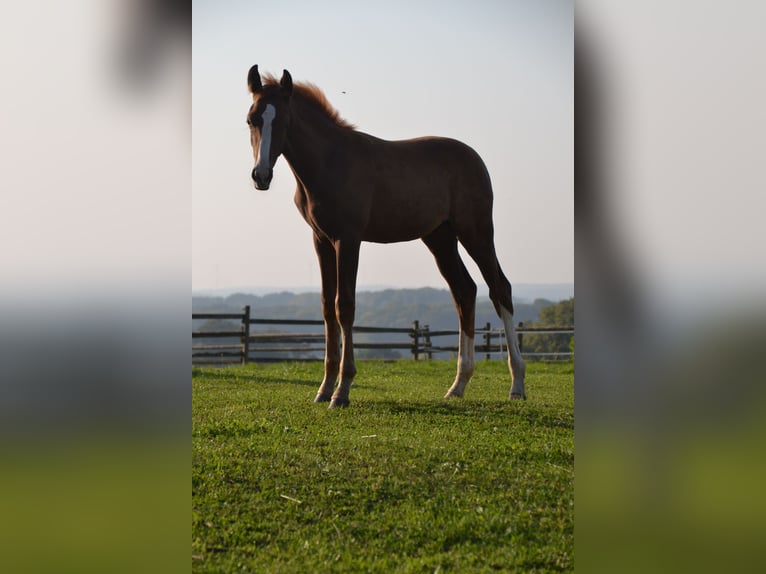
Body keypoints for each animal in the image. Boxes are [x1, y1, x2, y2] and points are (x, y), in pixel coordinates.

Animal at [246, 66, 528, 410]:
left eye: (285, 121)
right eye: (251, 119)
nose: (261, 176)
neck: (329, 162)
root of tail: (474, 158)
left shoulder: (348, 239)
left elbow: (345, 306)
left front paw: (342, 391)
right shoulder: (321, 241)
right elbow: (327, 308)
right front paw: (324, 389)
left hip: (476, 231)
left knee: (500, 288)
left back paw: (516, 384)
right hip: (440, 238)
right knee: (465, 291)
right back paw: (458, 385)